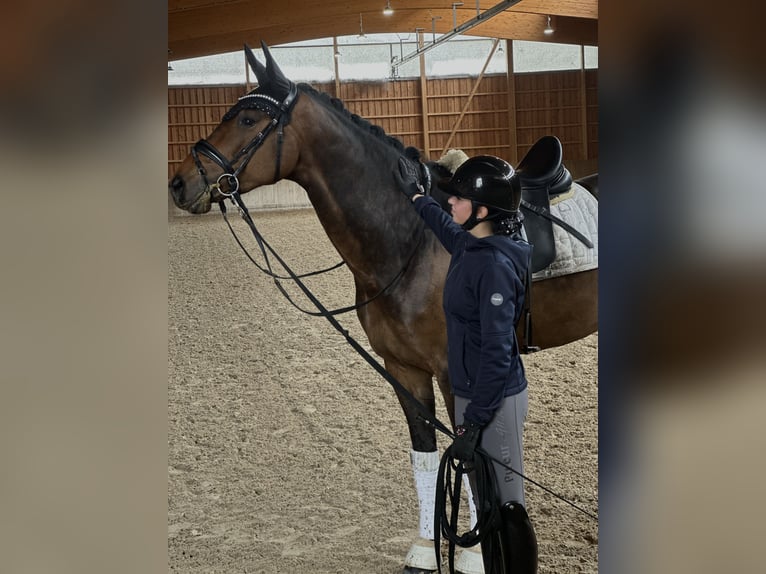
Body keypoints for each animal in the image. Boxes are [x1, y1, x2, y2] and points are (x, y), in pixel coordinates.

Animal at [170, 42, 600, 572]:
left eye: (249, 118)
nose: (179, 183)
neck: (412, 240)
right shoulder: (403, 370)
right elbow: (427, 455)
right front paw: (424, 550)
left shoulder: (455, 373)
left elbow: (469, 458)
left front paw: (472, 556)